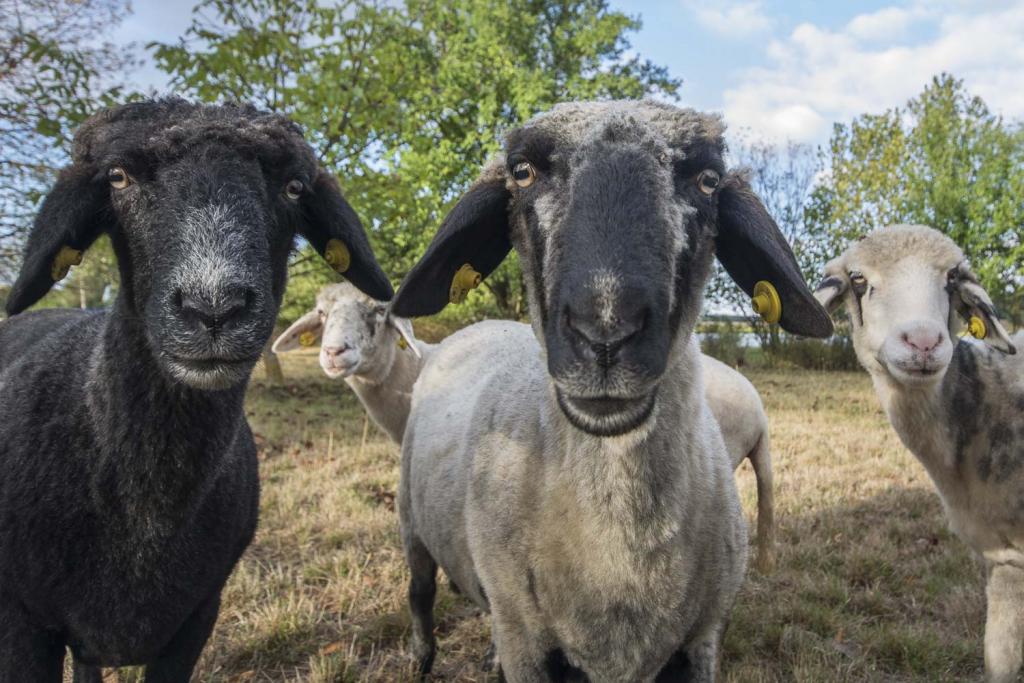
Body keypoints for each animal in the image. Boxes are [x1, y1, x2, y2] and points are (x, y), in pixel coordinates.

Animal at [389, 99, 832, 681]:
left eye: (708, 179)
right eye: (521, 171)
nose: (604, 333)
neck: (618, 558)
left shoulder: (702, 639)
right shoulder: (527, 641)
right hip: (412, 520)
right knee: (420, 592)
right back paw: (420, 658)